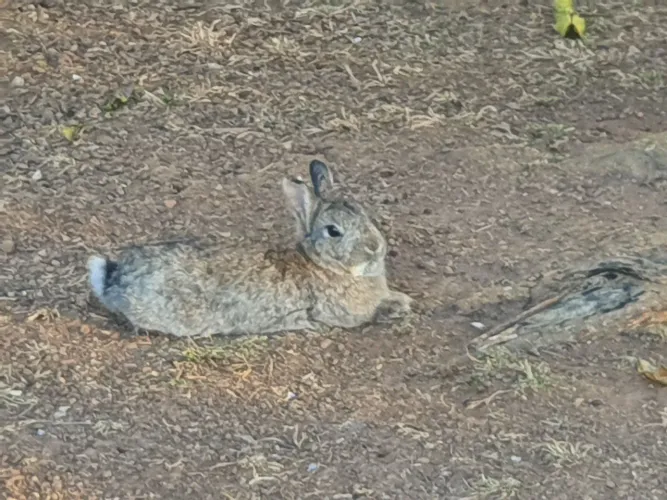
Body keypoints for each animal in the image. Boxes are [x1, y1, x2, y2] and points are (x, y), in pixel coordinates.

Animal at [87, 160, 412, 337]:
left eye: (364, 213)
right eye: (334, 231)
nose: (376, 248)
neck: (322, 264)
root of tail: (114, 278)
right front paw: (399, 306)